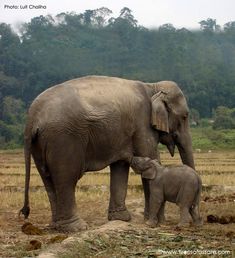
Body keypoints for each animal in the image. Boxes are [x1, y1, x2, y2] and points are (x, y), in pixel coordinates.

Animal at [19, 75, 193, 231]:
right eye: (185, 116)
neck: (152, 86)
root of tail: (31, 119)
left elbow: (121, 165)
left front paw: (121, 219)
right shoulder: (142, 124)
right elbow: (150, 157)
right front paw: (158, 222)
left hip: (40, 144)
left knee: (48, 178)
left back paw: (57, 226)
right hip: (63, 138)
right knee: (67, 177)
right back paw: (76, 227)